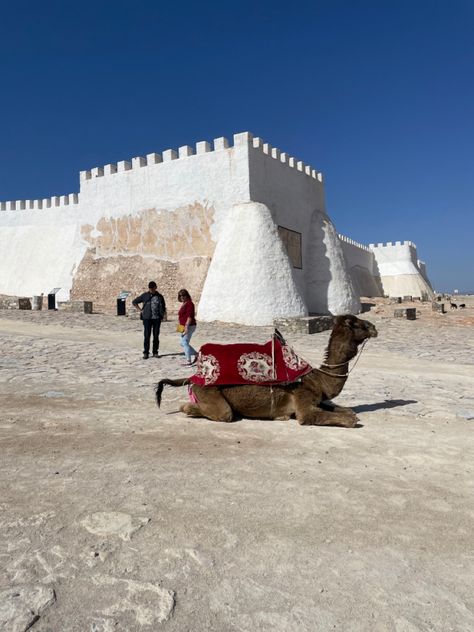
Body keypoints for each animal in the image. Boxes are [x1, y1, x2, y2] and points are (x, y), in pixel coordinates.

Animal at [156, 316, 378, 430]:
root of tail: (194, 376)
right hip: (209, 394)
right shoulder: (303, 402)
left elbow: (345, 410)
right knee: (219, 412)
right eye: (359, 323)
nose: (375, 328)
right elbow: (343, 419)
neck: (318, 380)